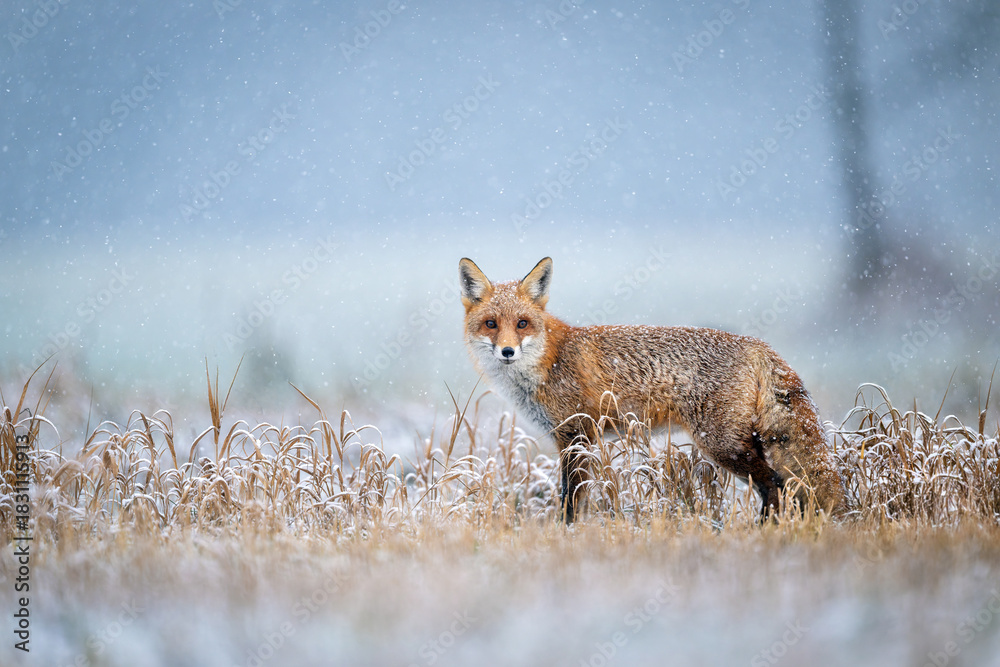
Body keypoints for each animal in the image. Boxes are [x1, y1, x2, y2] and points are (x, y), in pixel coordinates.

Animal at [459, 256, 846, 523]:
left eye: (522, 323)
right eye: (491, 324)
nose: (507, 351)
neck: (549, 361)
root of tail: (758, 345)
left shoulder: (576, 436)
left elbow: (571, 499)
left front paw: (564, 536)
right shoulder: (580, 439)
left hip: (723, 445)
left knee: (777, 486)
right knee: (789, 487)